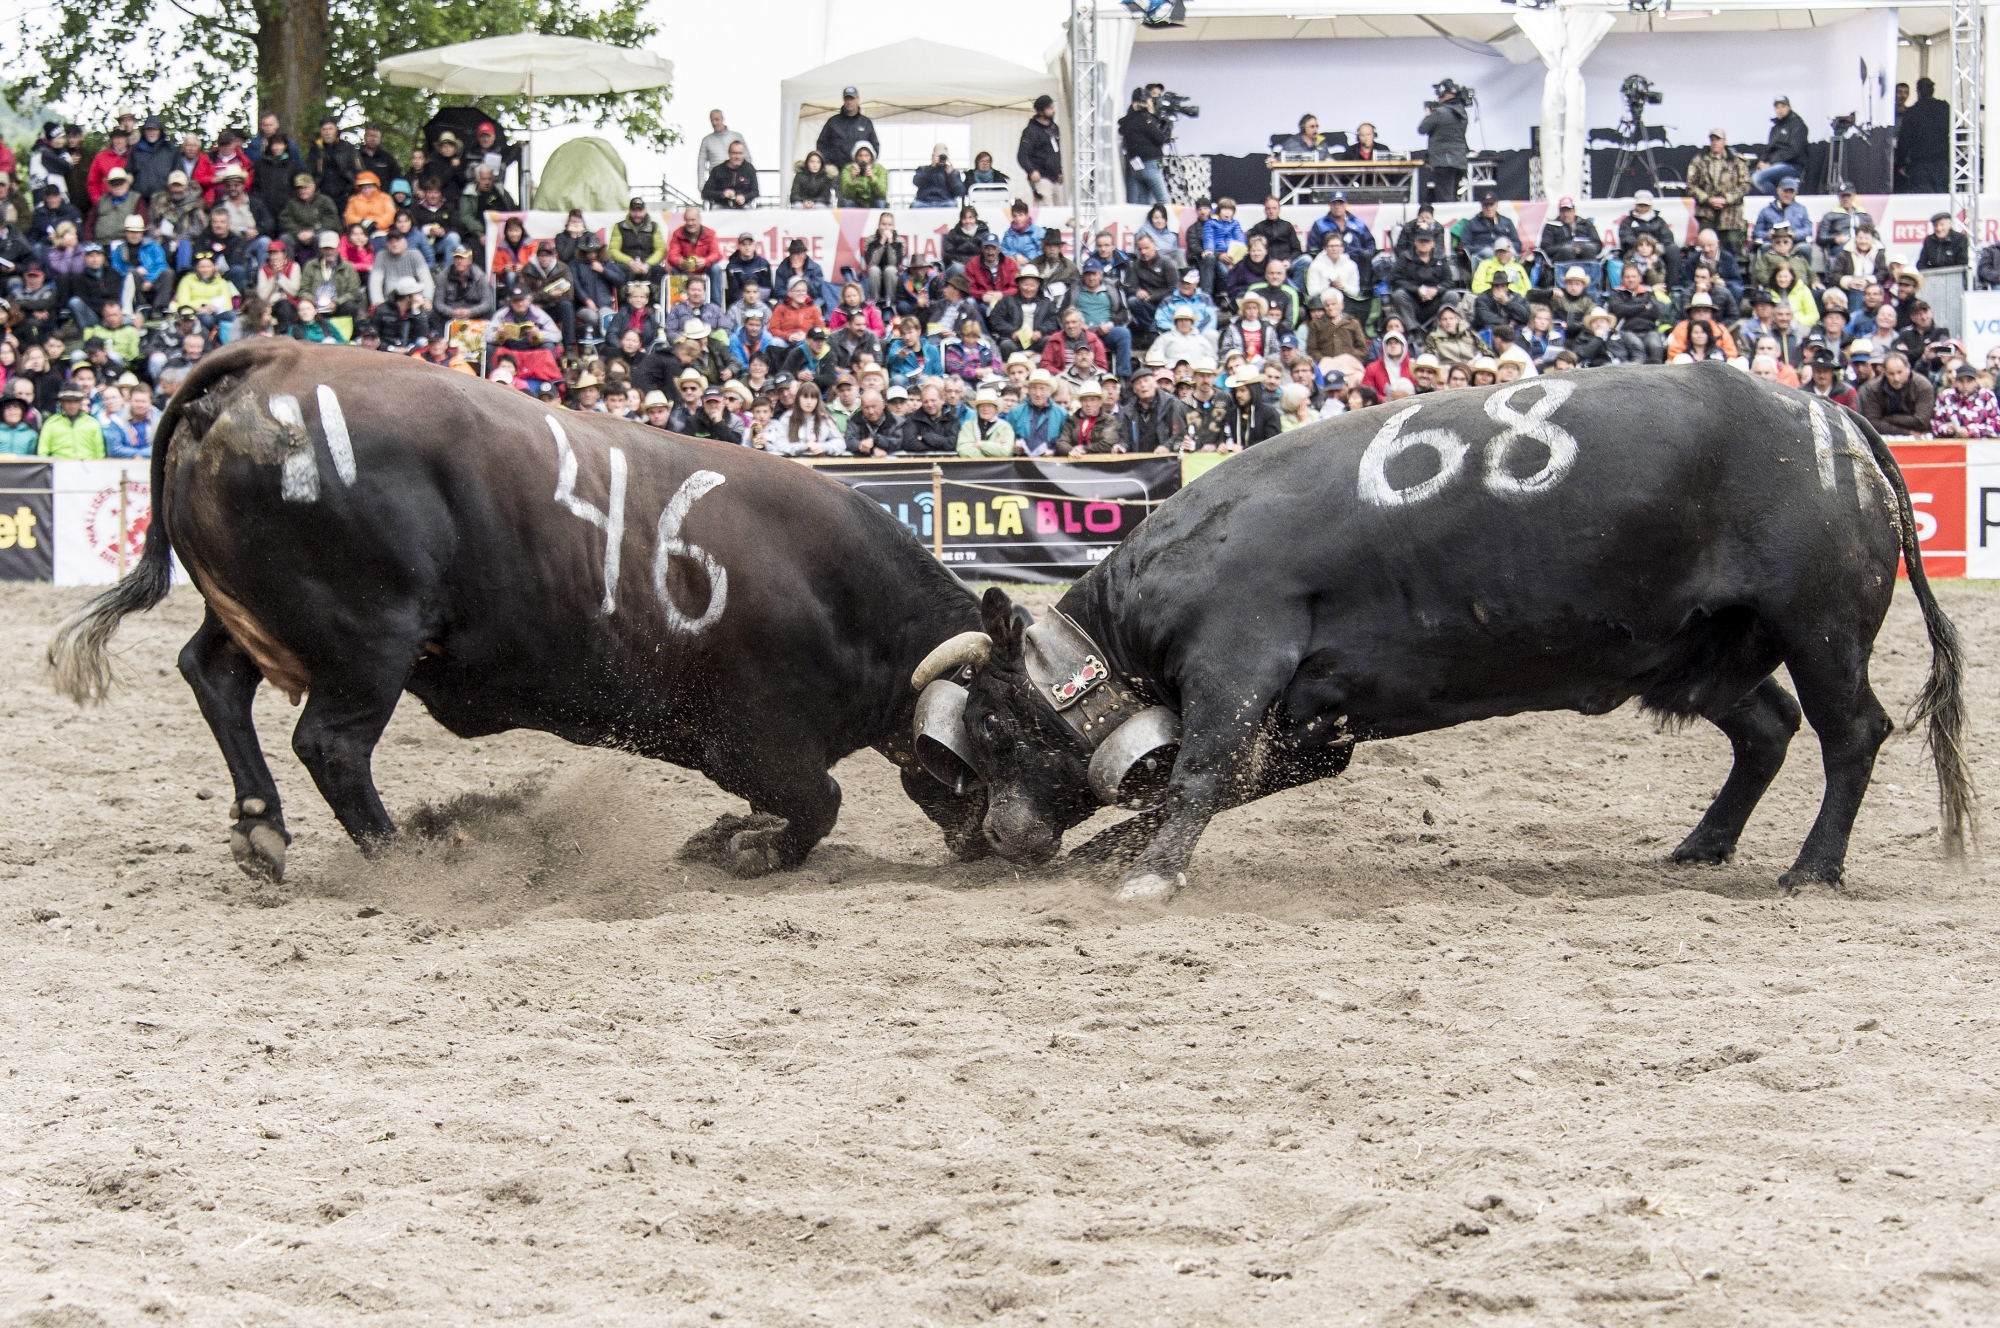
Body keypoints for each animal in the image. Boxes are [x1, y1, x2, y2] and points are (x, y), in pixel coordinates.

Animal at [58, 342, 996, 880]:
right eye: (1003, 721)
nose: (1014, 843)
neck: (843, 596)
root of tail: (271, 366)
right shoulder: (753, 741)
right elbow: (819, 804)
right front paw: (747, 846)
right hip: (368, 642)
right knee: (329, 745)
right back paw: (408, 857)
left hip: (259, 616)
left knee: (214, 677)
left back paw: (262, 828)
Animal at [932, 364, 1968, 904]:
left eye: (990, 724)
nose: (996, 836)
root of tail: (1831, 416)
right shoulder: (1313, 729)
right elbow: (1225, 784)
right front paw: (1113, 853)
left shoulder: (1236, 666)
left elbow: (1198, 776)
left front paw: (1147, 875)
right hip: (1713, 652)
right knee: (1768, 731)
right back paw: (1703, 845)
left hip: (1822, 627)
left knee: (1853, 733)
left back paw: (1813, 867)